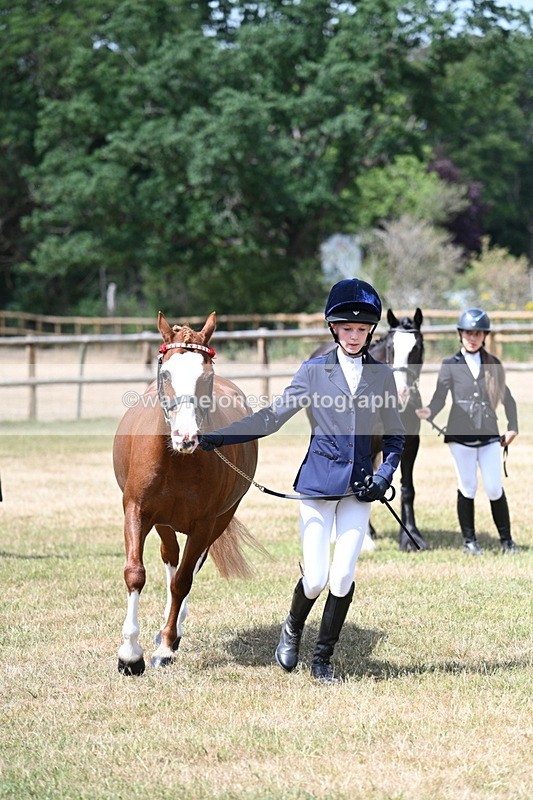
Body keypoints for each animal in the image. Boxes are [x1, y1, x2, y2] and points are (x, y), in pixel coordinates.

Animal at [113, 311, 259, 675]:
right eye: (165, 372)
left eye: (206, 377)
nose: (185, 436)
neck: (177, 459)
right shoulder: (136, 511)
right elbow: (136, 573)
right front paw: (129, 655)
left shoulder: (204, 524)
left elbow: (182, 581)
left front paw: (165, 647)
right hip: (163, 522)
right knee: (170, 556)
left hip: (220, 520)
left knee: (187, 569)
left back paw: (174, 630)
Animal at [310, 309, 427, 552]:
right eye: (391, 347)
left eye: (417, 347)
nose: (401, 393)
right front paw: (364, 541)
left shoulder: (410, 443)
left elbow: (407, 489)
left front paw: (411, 537)